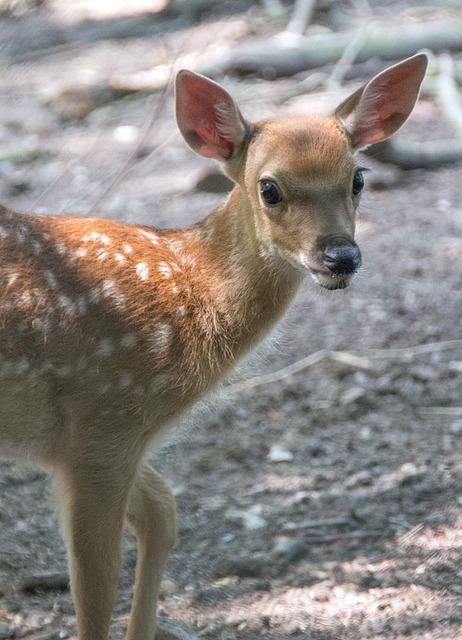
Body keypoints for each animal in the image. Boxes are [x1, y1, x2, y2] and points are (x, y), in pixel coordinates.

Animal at [0, 56, 426, 640]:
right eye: (269, 188)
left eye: (359, 178)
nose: (341, 256)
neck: (185, 292)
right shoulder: (102, 418)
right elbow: (96, 580)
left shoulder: (105, 439)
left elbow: (163, 513)